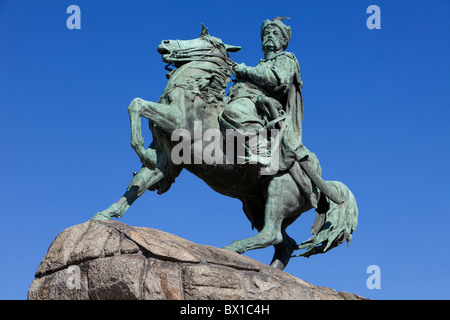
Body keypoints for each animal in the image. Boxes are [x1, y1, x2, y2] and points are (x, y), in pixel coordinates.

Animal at [91, 25, 358, 270]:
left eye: (203, 39)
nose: (165, 42)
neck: (194, 96)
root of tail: (318, 178)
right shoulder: (166, 158)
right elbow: (138, 184)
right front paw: (106, 214)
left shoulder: (175, 123)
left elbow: (136, 104)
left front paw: (139, 149)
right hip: (255, 206)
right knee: (285, 243)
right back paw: (270, 270)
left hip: (278, 194)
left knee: (272, 234)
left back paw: (232, 248)